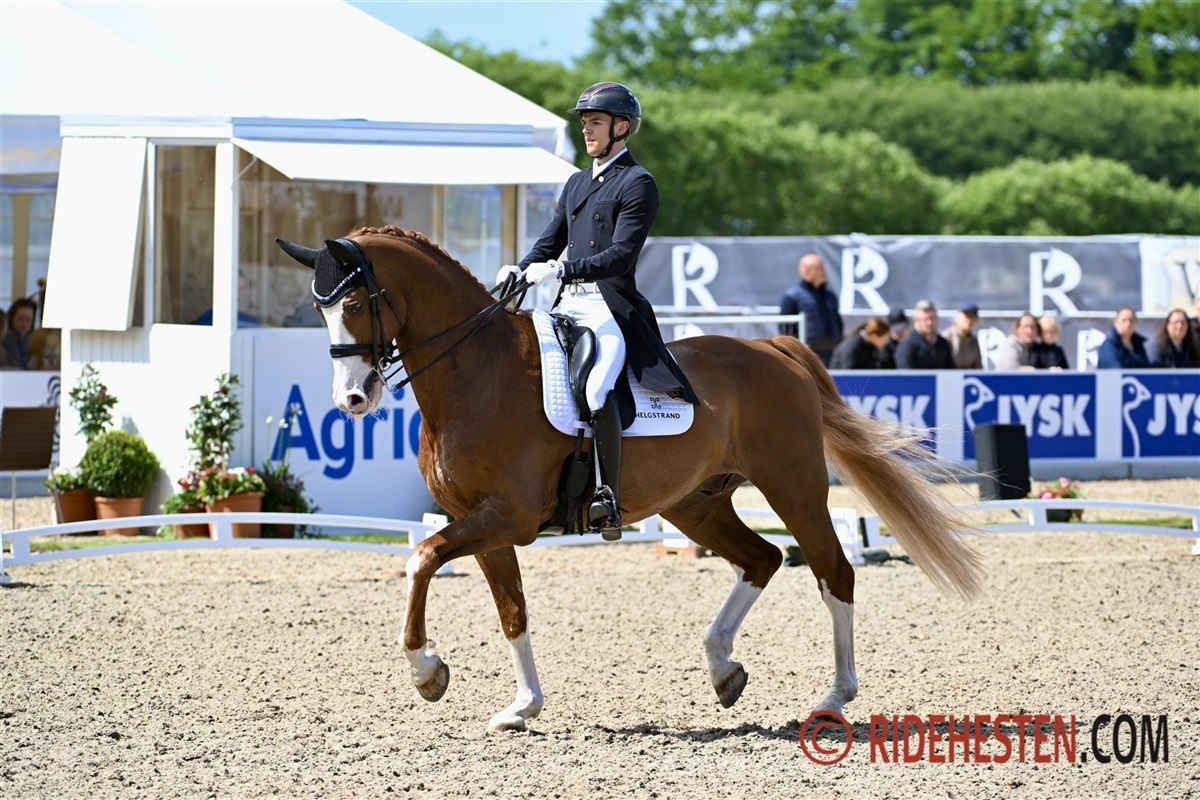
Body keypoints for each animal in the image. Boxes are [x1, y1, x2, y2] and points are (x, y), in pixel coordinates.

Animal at [277, 225, 984, 732]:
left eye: (355, 302)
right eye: (319, 309)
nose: (352, 401)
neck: (477, 373)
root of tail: (771, 347)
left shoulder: (505, 517)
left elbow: (420, 557)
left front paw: (427, 672)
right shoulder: (483, 523)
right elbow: (511, 610)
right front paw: (522, 707)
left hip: (795, 487)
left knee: (831, 571)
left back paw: (833, 699)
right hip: (696, 504)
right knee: (762, 557)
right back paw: (723, 669)